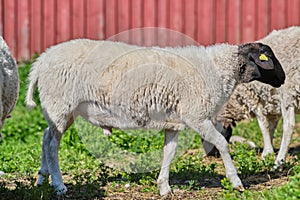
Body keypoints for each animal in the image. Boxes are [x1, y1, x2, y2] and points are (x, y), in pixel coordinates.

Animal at [24, 39, 284, 195]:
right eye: (268, 57)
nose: (283, 80)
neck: (219, 69)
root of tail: (42, 60)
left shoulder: (174, 123)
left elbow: (168, 153)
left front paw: (164, 188)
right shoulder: (197, 117)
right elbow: (222, 144)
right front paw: (236, 182)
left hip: (61, 110)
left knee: (46, 137)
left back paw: (43, 177)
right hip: (60, 104)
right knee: (53, 144)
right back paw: (59, 185)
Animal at [203, 26, 298, 167]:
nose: (209, 154)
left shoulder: (253, 98)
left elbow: (263, 125)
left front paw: (267, 152)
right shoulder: (271, 102)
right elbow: (271, 126)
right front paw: (268, 150)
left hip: (288, 93)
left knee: (289, 126)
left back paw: (279, 161)